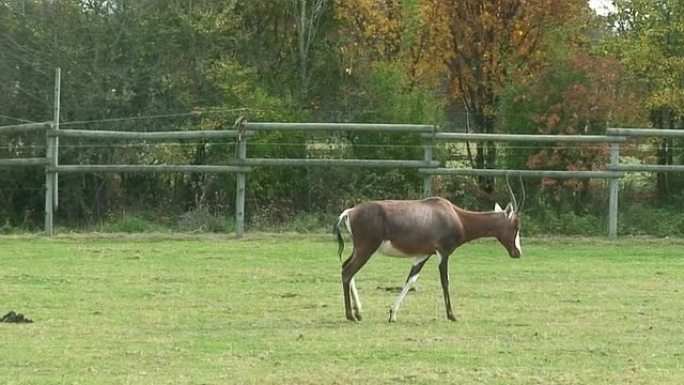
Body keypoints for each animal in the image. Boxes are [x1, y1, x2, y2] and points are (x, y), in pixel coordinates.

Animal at [332, 177, 524, 320]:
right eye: (516, 225)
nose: (517, 253)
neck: (455, 215)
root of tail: (349, 212)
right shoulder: (443, 252)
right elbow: (445, 281)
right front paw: (452, 316)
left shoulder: (423, 255)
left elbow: (410, 280)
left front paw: (392, 314)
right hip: (366, 249)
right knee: (348, 272)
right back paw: (351, 316)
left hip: (358, 249)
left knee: (345, 267)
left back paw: (359, 312)